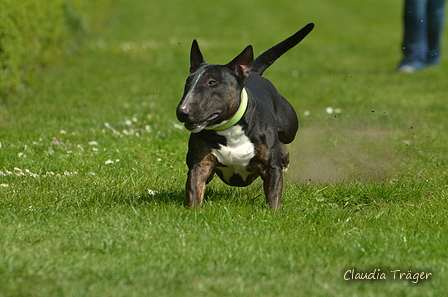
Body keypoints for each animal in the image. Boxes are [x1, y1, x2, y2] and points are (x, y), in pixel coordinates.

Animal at [176, 23, 316, 208]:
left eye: (212, 82)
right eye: (188, 82)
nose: (182, 112)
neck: (230, 129)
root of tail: (253, 74)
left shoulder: (271, 168)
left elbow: (274, 193)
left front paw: (273, 211)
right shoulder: (200, 164)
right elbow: (194, 188)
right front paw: (193, 210)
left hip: (289, 128)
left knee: (284, 142)